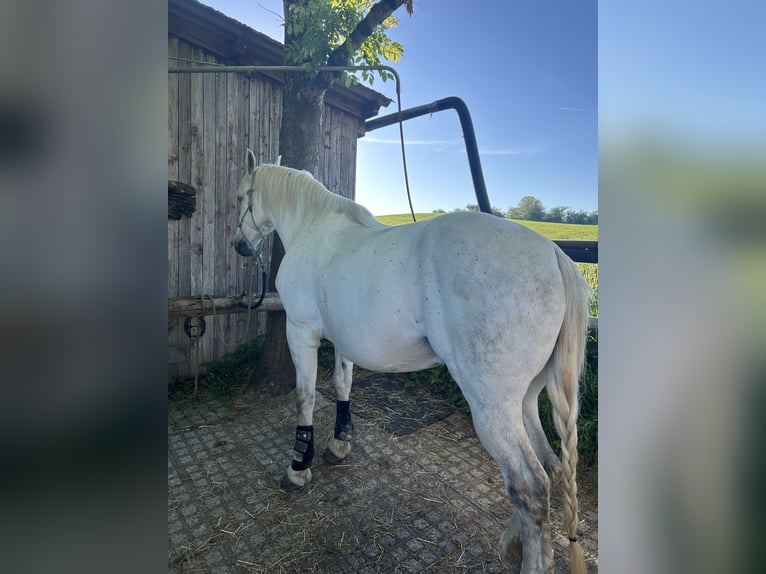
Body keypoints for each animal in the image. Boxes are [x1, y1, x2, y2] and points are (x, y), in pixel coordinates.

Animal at [233, 149, 590, 574]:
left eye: (240, 196)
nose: (239, 245)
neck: (314, 228)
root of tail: (554, 254)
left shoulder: (301, 331)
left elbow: (305, 397)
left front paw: (298, 468)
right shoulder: (343, 337)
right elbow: (341, 385)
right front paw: (340, 444)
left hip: (493, 408)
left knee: (530, 487)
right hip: (525, 400)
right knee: (550, 468)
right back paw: (514, 544)